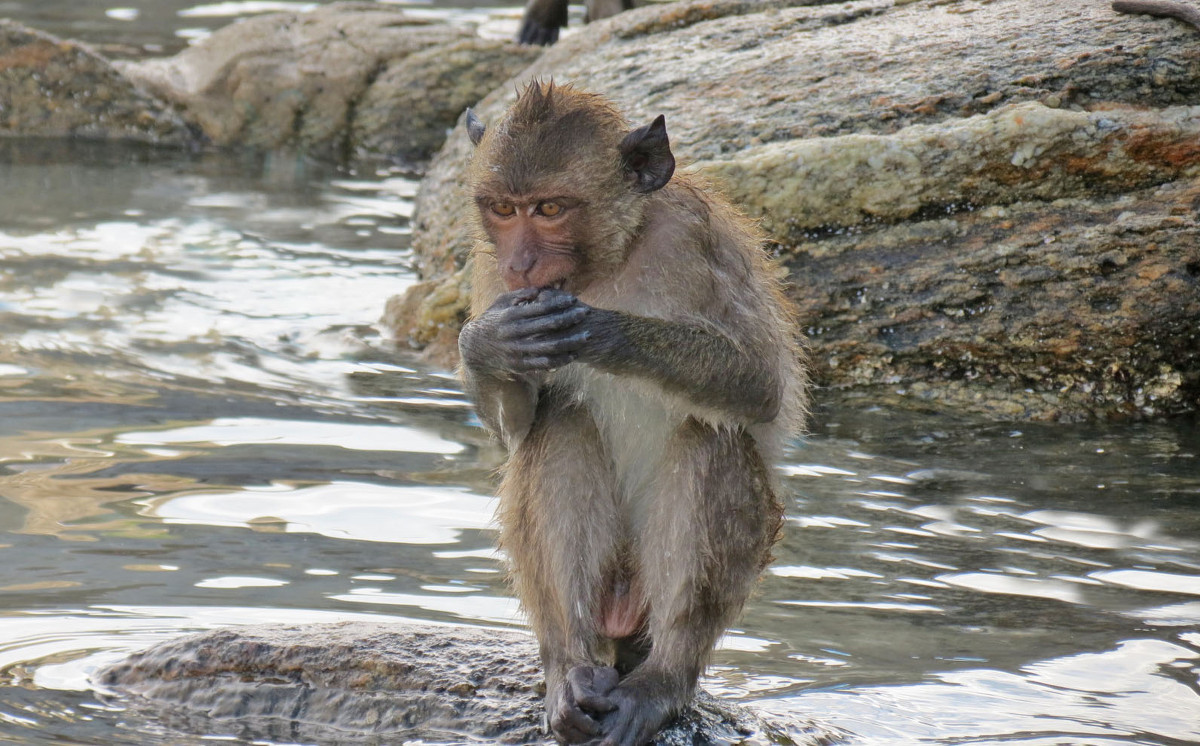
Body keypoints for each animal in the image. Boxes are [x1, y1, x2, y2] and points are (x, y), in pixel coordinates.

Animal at [456, 81, 806, 746]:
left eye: (549, 208)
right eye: (504, 210)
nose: (521, 265)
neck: (608, 264)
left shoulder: (692, 236)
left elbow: (758, 385)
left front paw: (602, 330)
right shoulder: (488, 267)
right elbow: (516, 428)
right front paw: (486, 342)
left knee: (709, 436)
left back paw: (662, 680)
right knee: (558, 424)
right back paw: (568, 669)